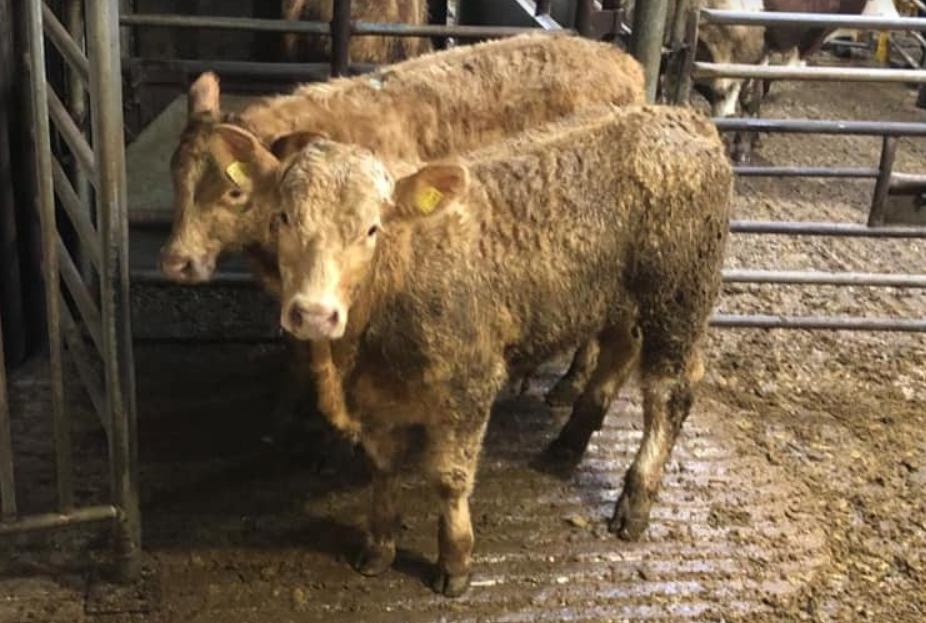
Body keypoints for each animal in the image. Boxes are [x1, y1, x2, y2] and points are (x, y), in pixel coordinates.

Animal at [161, 34, 645, 440]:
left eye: (234, 190)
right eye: (175, 175)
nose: (176, 261)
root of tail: (620, 57)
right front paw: (284, 413)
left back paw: (570, 383)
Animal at [271, 104, 733, 596]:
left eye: (371, 229)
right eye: (283, 218)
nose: (314, 314)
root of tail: (683, 116)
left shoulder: (470, 383)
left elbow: (450, 479)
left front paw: (455, 561)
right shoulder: (374, 392)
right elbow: (382, 466)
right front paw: (378, 546)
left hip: (680, 298)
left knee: (669, 392)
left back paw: (636, 501)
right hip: (622, 299)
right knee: (620, 351)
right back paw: (567, 444)